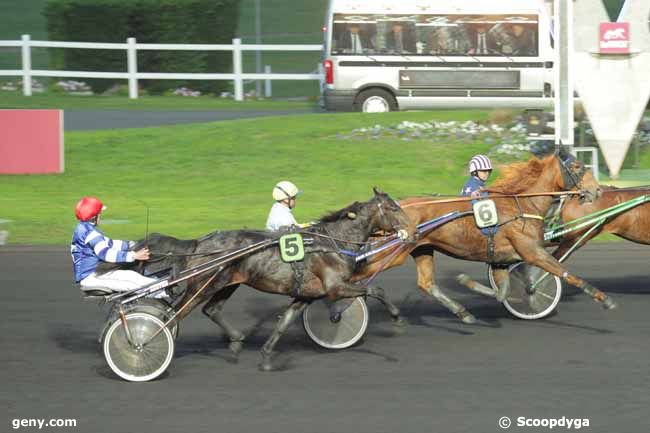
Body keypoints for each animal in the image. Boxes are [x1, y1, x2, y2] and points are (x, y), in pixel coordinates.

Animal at [103, 187, 412, 370]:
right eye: (393, 208)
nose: (410, 229)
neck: (332, 242)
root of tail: (199, 243)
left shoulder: (306, 294)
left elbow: (284, 323)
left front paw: (265, 357)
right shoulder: (335, 287)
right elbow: (376, 290)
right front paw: (398, 319)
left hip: (226, 283)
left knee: (210, 309)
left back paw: (236, 341)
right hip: (203, 284)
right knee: (171, 315)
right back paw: (142, 343)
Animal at [350, 148, 612, 324]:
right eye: (576, 167)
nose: (597, 190)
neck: (523, 205)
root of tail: (393, 210)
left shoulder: (501, 259)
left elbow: (501, 291)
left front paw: (467, 282)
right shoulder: (532, 252)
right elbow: (564, 272)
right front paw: (603, 298)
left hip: (422, 248)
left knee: (426, 283)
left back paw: (462, 313)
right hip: (392, 253)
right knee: (357, 277)